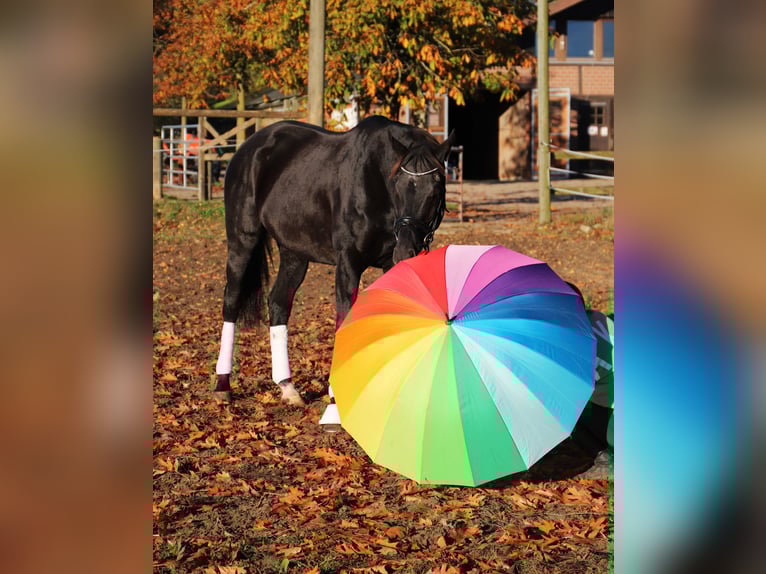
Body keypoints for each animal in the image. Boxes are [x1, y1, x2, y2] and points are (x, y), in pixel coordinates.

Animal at [213, 115, 455, 423]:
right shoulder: (348, 263)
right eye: (398, 185)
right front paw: (334, 404)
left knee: (278, 303)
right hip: (242, 240)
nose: (405, 250)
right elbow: (343, 320)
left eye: (435, 190)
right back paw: (223, 385)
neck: (376, 185)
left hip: (294, 253)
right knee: (231, 301)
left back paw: (287, 387)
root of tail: (249, 148)